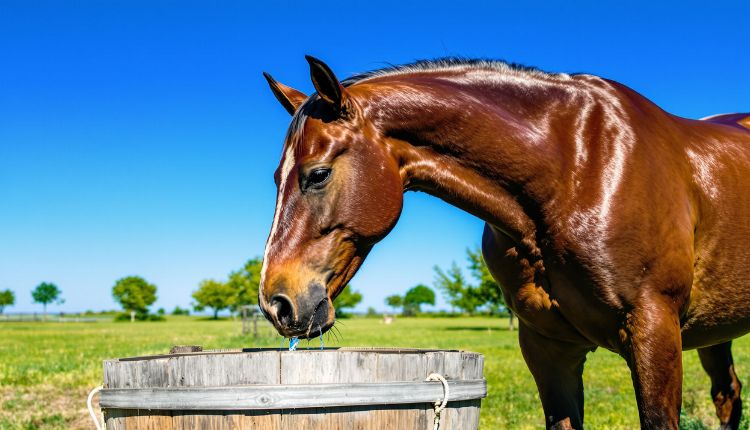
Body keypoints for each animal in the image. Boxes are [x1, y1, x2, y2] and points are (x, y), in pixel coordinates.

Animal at [258, 55, 750, 429]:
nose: (275, 304)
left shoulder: (653, 331)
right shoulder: (548, 348)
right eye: (276, 179)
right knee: (728, 395)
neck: (575, 170)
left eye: (318, 174)